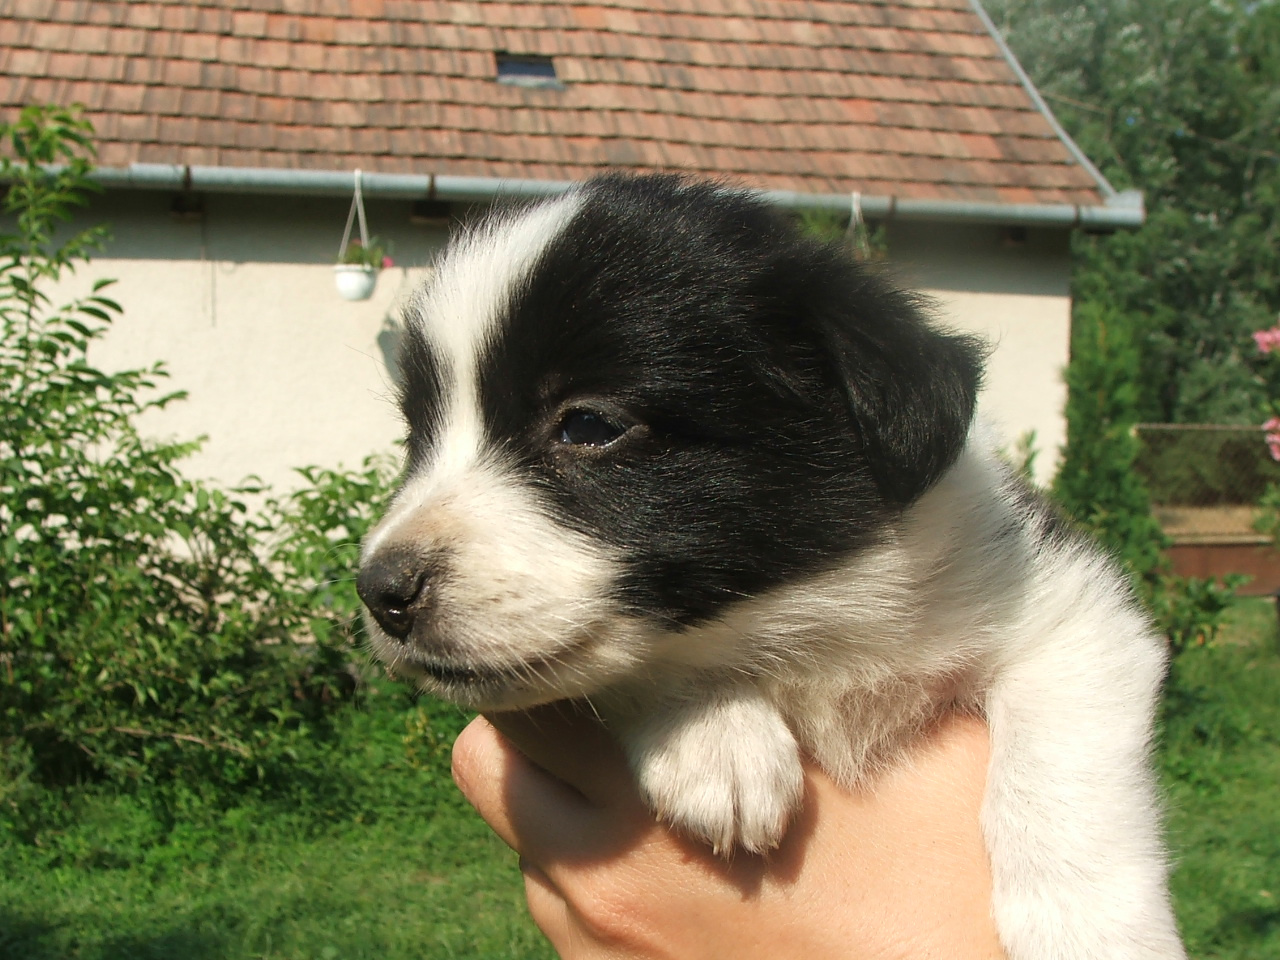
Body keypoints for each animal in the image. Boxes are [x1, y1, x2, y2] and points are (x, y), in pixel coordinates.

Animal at [355, 175, 1182, 960]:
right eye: (418, 437)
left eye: (589, 423)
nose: (379, 590)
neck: (810, 620)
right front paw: (713, 736)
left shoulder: (1070, 613)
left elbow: (1059, 772)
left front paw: (1093, 933)